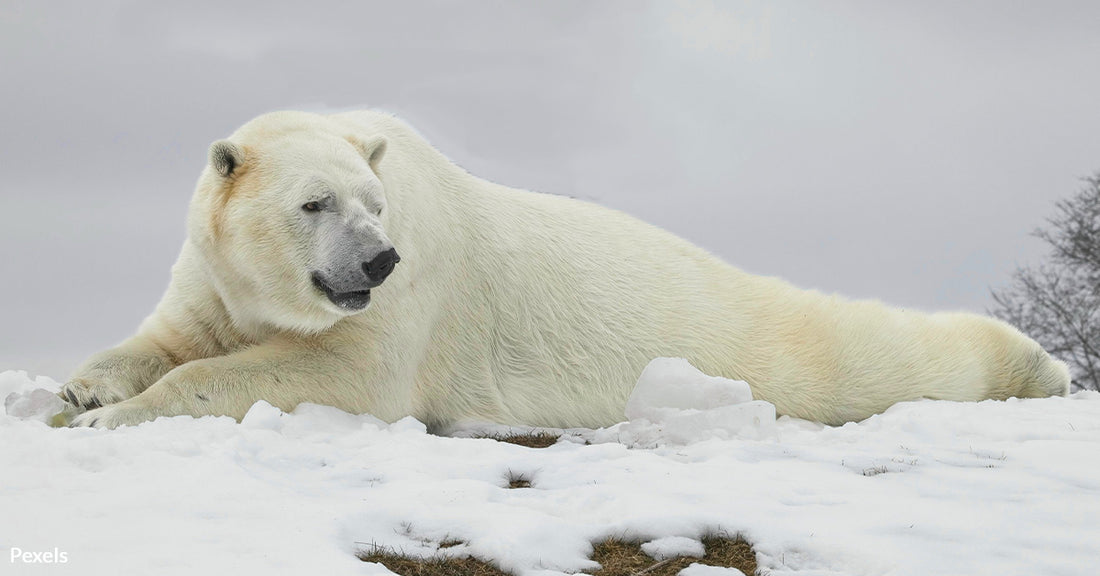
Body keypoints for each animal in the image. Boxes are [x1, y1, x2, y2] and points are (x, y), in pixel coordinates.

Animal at [61, 110, 1070, 429]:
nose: (379, 259)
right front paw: (83, 389)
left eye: (375, 205)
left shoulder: (410, 305)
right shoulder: (212, 274)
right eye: (315, 204)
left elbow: (340, 372)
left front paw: (113, 417)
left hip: (747, 336)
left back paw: (1043, 368)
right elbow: (173, 335)